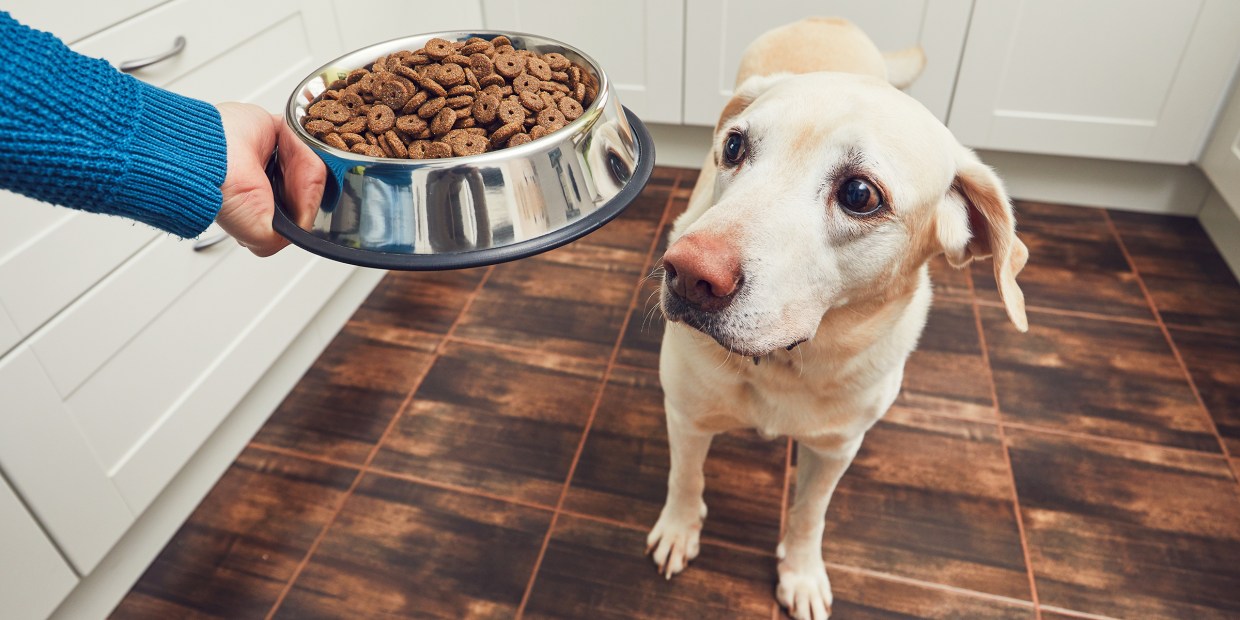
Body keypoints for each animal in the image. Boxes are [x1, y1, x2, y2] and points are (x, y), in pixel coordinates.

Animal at [649, 16, 1026, 617]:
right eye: (733, 146)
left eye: (859, 194)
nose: (685, 273)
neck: (784, 364)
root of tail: (828, 19)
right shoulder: (686, 415)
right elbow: (685, 480)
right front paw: (679, 529)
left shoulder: (836, 449)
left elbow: (809, 515)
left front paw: (801, 574)